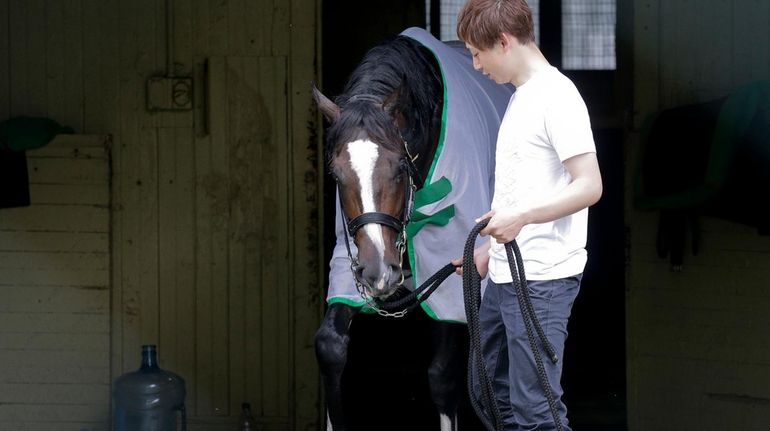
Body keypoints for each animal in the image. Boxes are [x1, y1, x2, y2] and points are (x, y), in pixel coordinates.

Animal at [308, 27, 512, 431]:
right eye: (336, 175)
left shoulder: (453, 271)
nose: (378, 273)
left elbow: (443, 376)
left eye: (400, 168)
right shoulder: (347, 265)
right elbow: (330, 347)